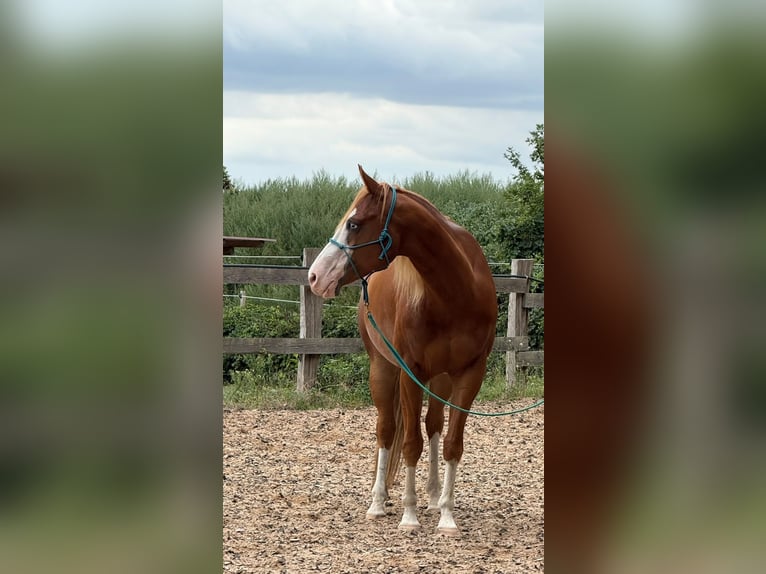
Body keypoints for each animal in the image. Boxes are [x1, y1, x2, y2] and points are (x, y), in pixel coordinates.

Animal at [308, 165, 497, 536]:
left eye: (354, 224)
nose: (314, 277)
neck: (455, 293)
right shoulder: (412, 373)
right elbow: (410, 444)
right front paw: (409, 517)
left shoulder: (470, 374)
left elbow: (452, 443)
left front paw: (447, 517)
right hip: (382, 370)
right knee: (386, 430)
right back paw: (378, 503)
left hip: (440, 379)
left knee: (433, 424)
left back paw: (434, 498)